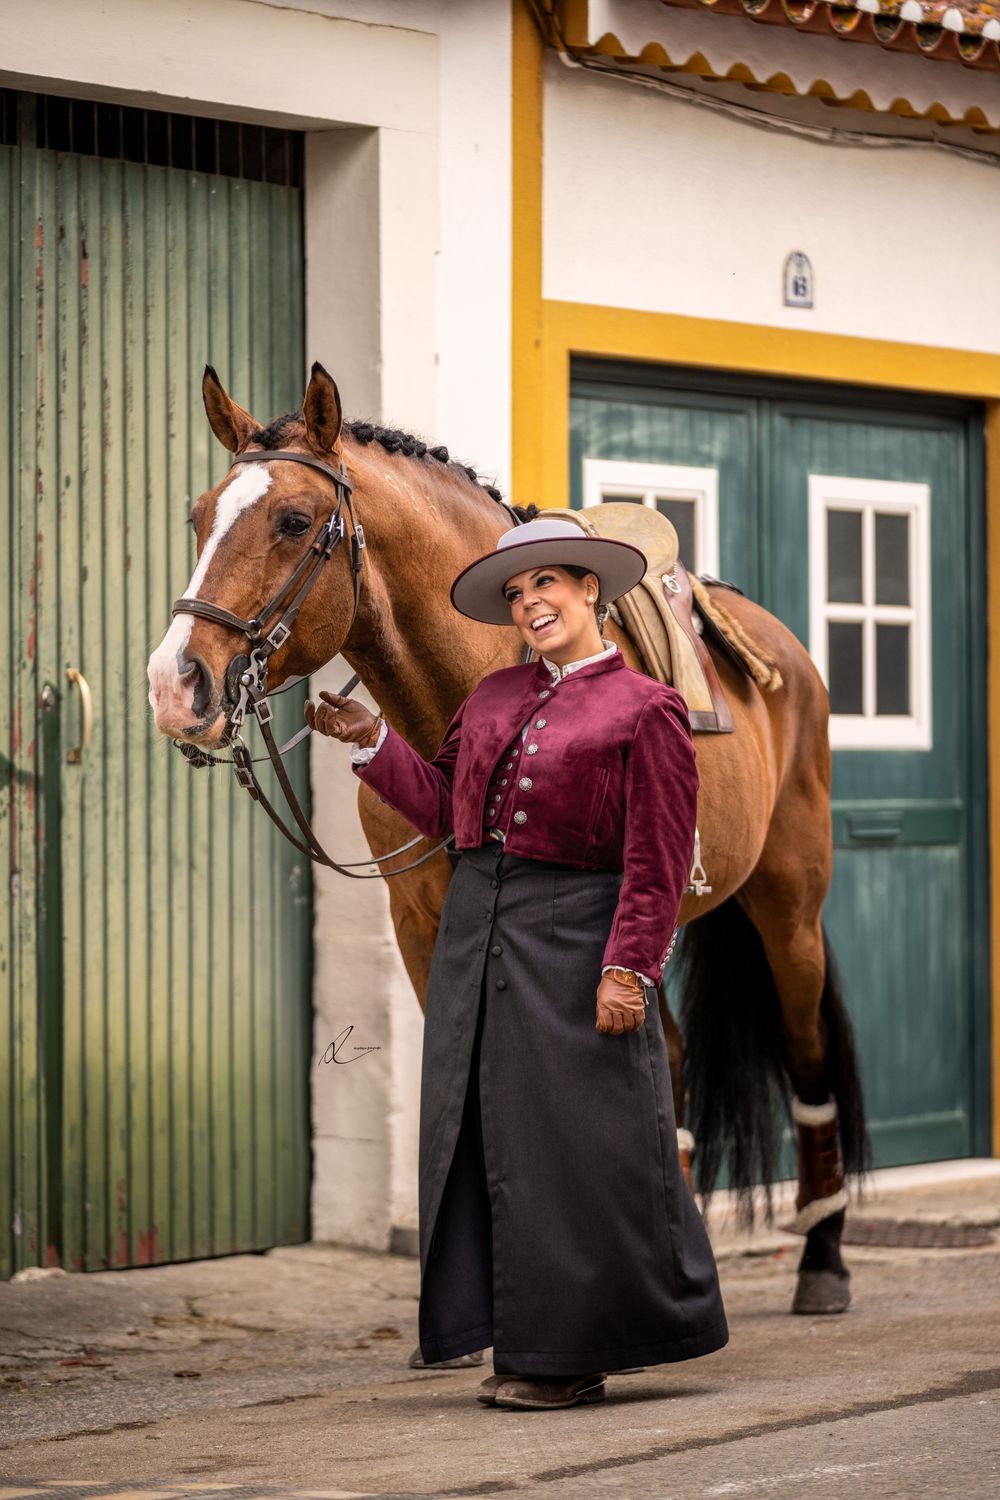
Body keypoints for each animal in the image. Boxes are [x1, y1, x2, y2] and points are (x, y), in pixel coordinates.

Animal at [147, 362, 870, 1332]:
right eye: (198, 516)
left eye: (295, 522)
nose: (174, 683)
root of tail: (782, 652)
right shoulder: (421, 924)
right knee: (672, 1056)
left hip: (788, 906)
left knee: (806, 1053)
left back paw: (822, 1260)